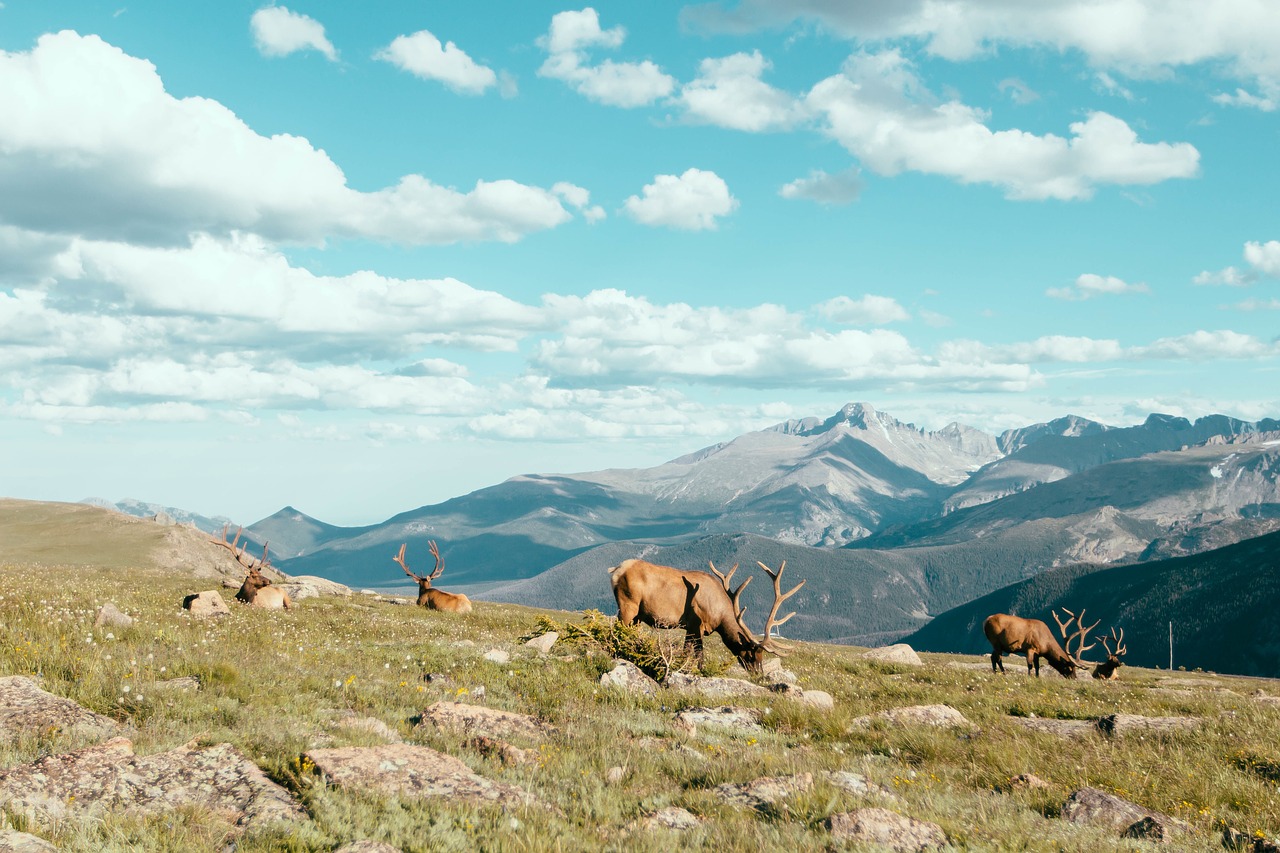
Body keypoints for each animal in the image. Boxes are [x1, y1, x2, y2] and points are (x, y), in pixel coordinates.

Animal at [606, 555, 803, 676]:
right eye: (752, 654)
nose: (759, 676)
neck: (719, 614)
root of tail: (615, 571)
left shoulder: (689, 627)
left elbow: (688, 652)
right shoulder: (695, 623)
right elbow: (698, 655)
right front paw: (697, 672)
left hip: (637, 616)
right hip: (628, 605)